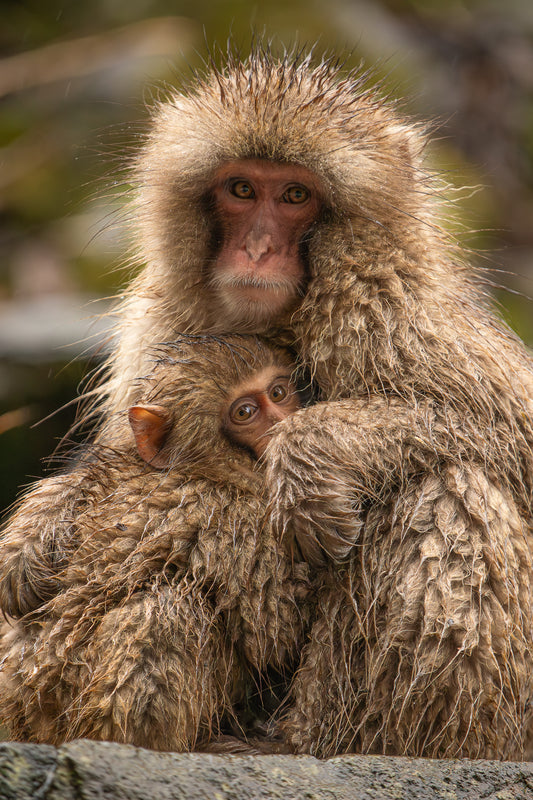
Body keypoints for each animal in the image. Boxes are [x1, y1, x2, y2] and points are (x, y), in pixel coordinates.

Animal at [0, 334, 309, 751]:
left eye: (278, 393)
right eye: (245, 412)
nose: (283, 424)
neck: (206, 468)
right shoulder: (241, 519)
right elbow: (274, 633)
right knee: (167, 607)